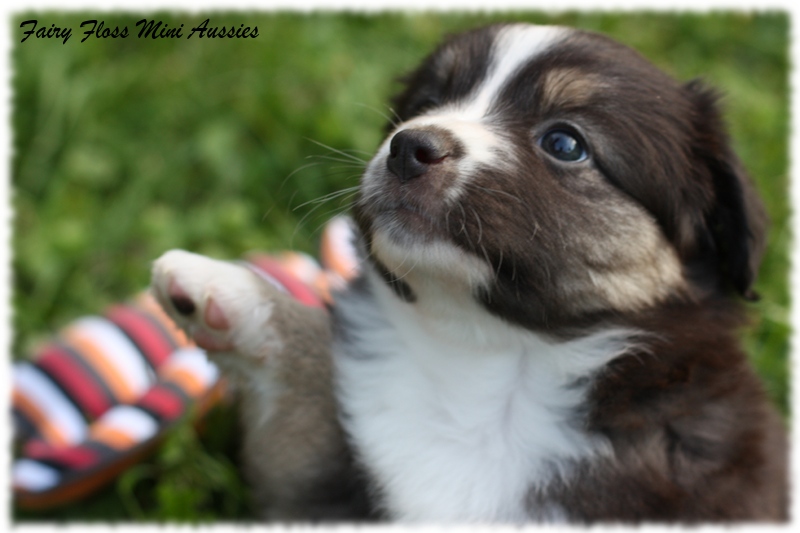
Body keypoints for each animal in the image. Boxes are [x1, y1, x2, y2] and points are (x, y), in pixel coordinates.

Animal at [152, 23, 788, 520]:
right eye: (424, 103)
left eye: (565, 143)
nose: (408, 147)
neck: (494, 358)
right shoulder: (309, 492)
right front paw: (219, 288)